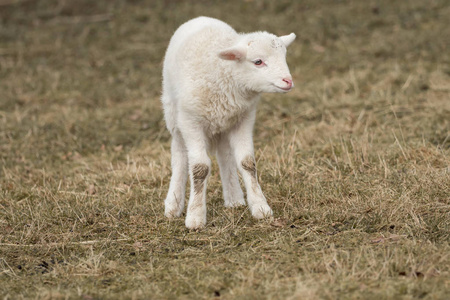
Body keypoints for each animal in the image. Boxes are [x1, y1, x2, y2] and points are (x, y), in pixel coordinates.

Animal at [161, 15, 296, 229]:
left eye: (284, 57)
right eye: (258, 62)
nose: (288, 81)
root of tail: (199, 17)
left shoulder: (244, 119)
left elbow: (247, 162)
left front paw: (260, 207)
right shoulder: (191, 122)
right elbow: (200, 168)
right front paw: (195, 216)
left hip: (224, 123)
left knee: (225, 154)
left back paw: (234, 198)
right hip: (173, 114)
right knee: (180, 155)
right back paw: (173, 205)